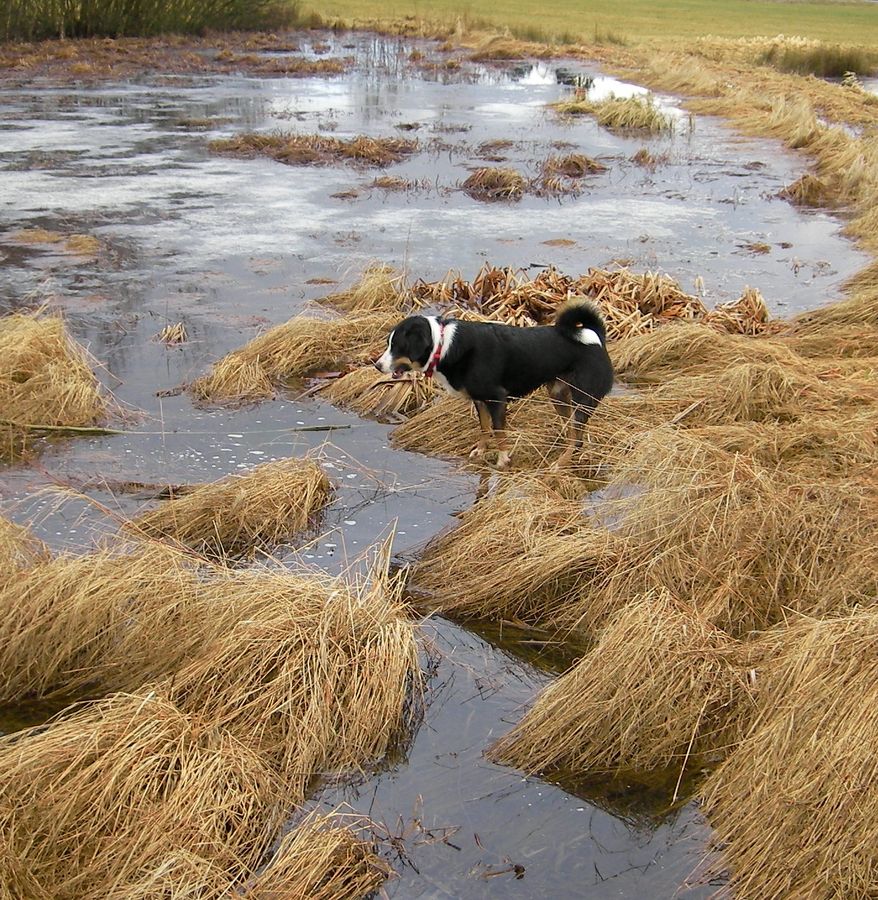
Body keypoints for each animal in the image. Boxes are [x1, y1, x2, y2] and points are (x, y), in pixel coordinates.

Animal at [374, 302, 616, 468]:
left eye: (397, 346)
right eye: (389, 343)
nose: (377, 365)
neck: (443, 345)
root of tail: (597, 339)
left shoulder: (496, 398)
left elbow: (499, 432)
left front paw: (502, 460)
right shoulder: (480, 400)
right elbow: (484, 429)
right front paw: (480, 452)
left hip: (582, 399)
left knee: (577, 437)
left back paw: (560, 463)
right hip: (558, 395)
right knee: (574, 435)